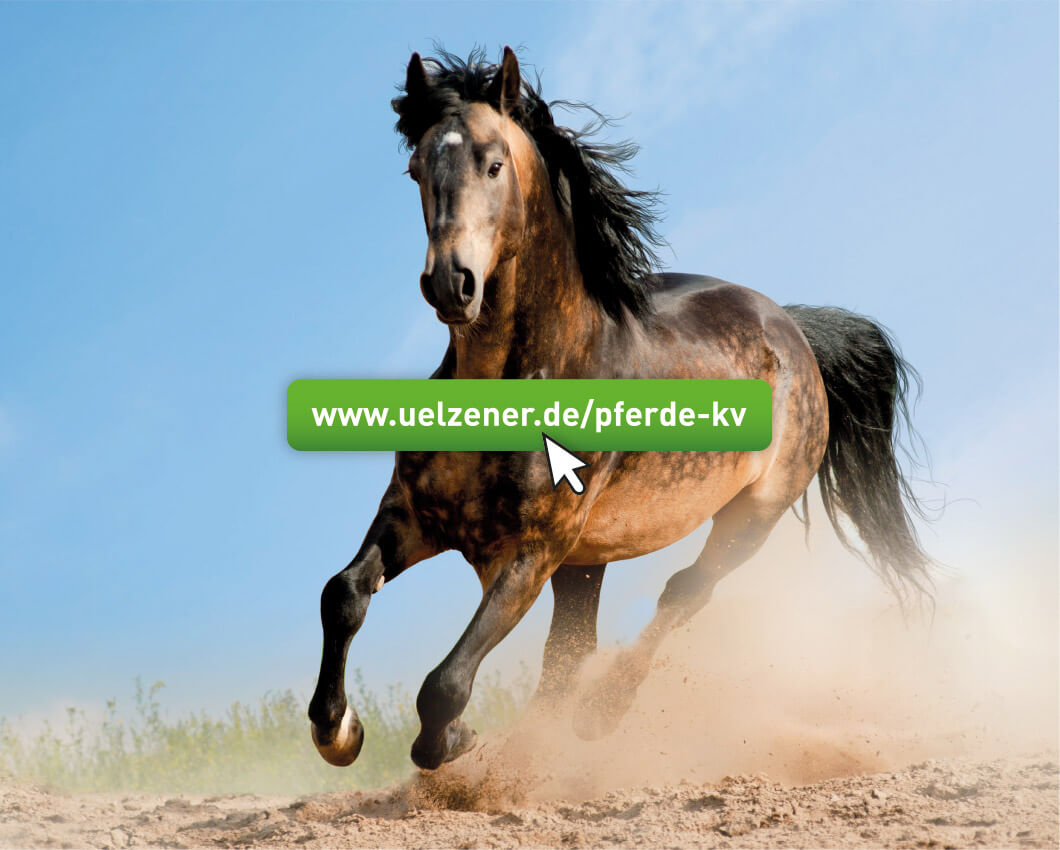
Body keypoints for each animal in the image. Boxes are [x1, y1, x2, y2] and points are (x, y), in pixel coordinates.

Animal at [307, 47, 932, 771]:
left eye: (493, 163)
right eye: (415, 169)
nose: (450, 284)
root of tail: (793, 329)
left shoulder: (530, 554)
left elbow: (445, 684)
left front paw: (453, 741)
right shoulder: (414, 516)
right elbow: (343, 594)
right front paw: (338, 731)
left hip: (750, 517)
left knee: (682, 594)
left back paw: (600, 717)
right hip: (589, 561)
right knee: (572, 650)